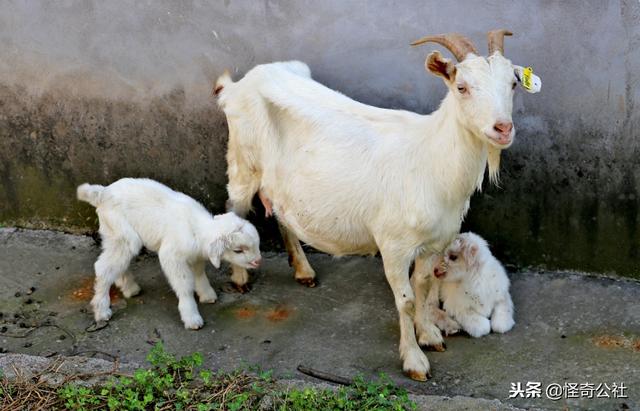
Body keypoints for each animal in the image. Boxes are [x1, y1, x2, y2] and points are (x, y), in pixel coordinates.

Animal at [215, 30, 520, 382]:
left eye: (513, 83)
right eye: (462, 87)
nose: (503, 129)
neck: (430, 158)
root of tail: (237, 86)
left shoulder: (435, 242)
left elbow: (425, 286)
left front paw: (429, 335)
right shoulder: (393, 245)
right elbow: (406, 300)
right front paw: (414, 361)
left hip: (280, 182)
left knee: (282, 213)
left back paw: (304, 271)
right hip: (242, 164)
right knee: (234, 211)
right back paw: (240, 279)